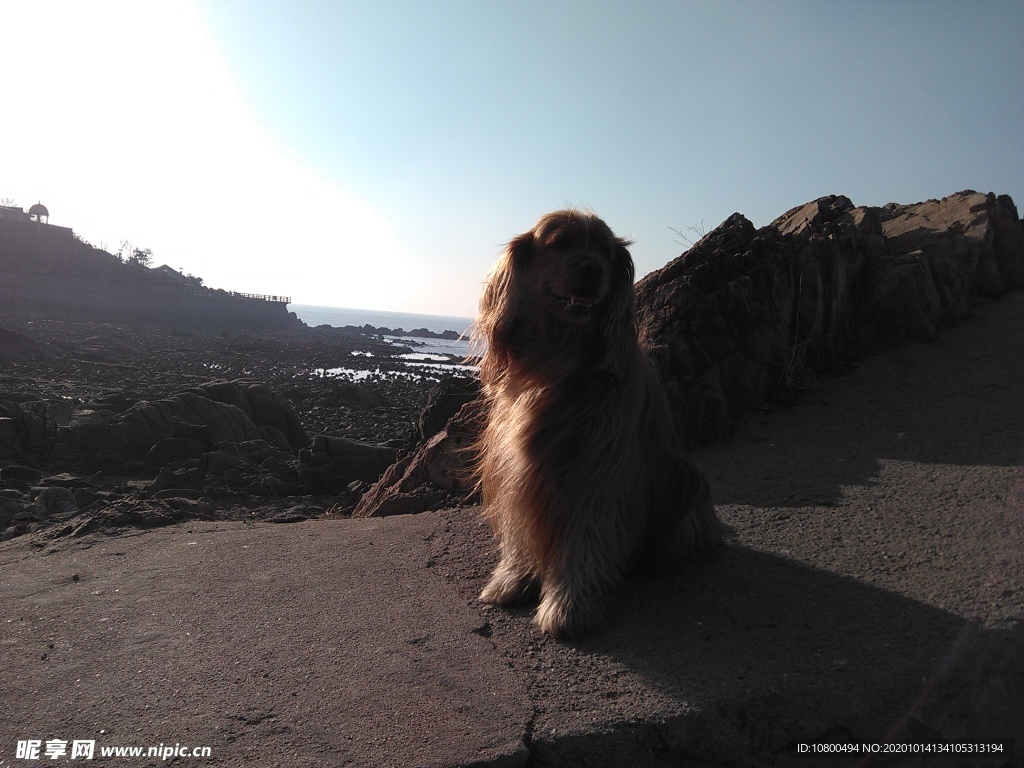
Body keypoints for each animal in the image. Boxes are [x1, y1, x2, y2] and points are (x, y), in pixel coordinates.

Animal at [471, 207, 720, 638]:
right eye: (560, 244)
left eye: (605, 252)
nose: (593, 268)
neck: (559, 358)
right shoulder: (518, 472)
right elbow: (521, 530)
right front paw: (513, 579)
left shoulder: (594, 471)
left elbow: (584, 540)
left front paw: (569, 606)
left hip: (687, 488)